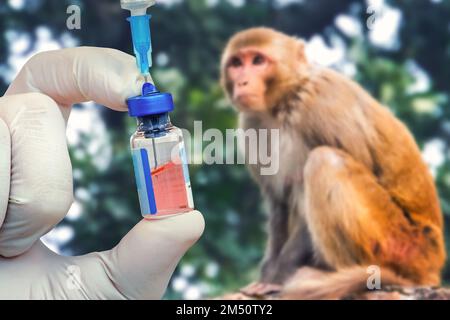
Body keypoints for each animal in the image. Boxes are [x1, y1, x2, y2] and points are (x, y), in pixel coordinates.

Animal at [220, 28, 444, 300]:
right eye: (236, 64)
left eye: (258, 61)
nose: (242, 82)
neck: (285, 101)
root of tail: (432, 265)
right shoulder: (251, 124)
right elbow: (279, 203)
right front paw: (267, 274)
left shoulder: (322, 103)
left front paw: (278, 277)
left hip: (399, 244)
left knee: (325, 160)